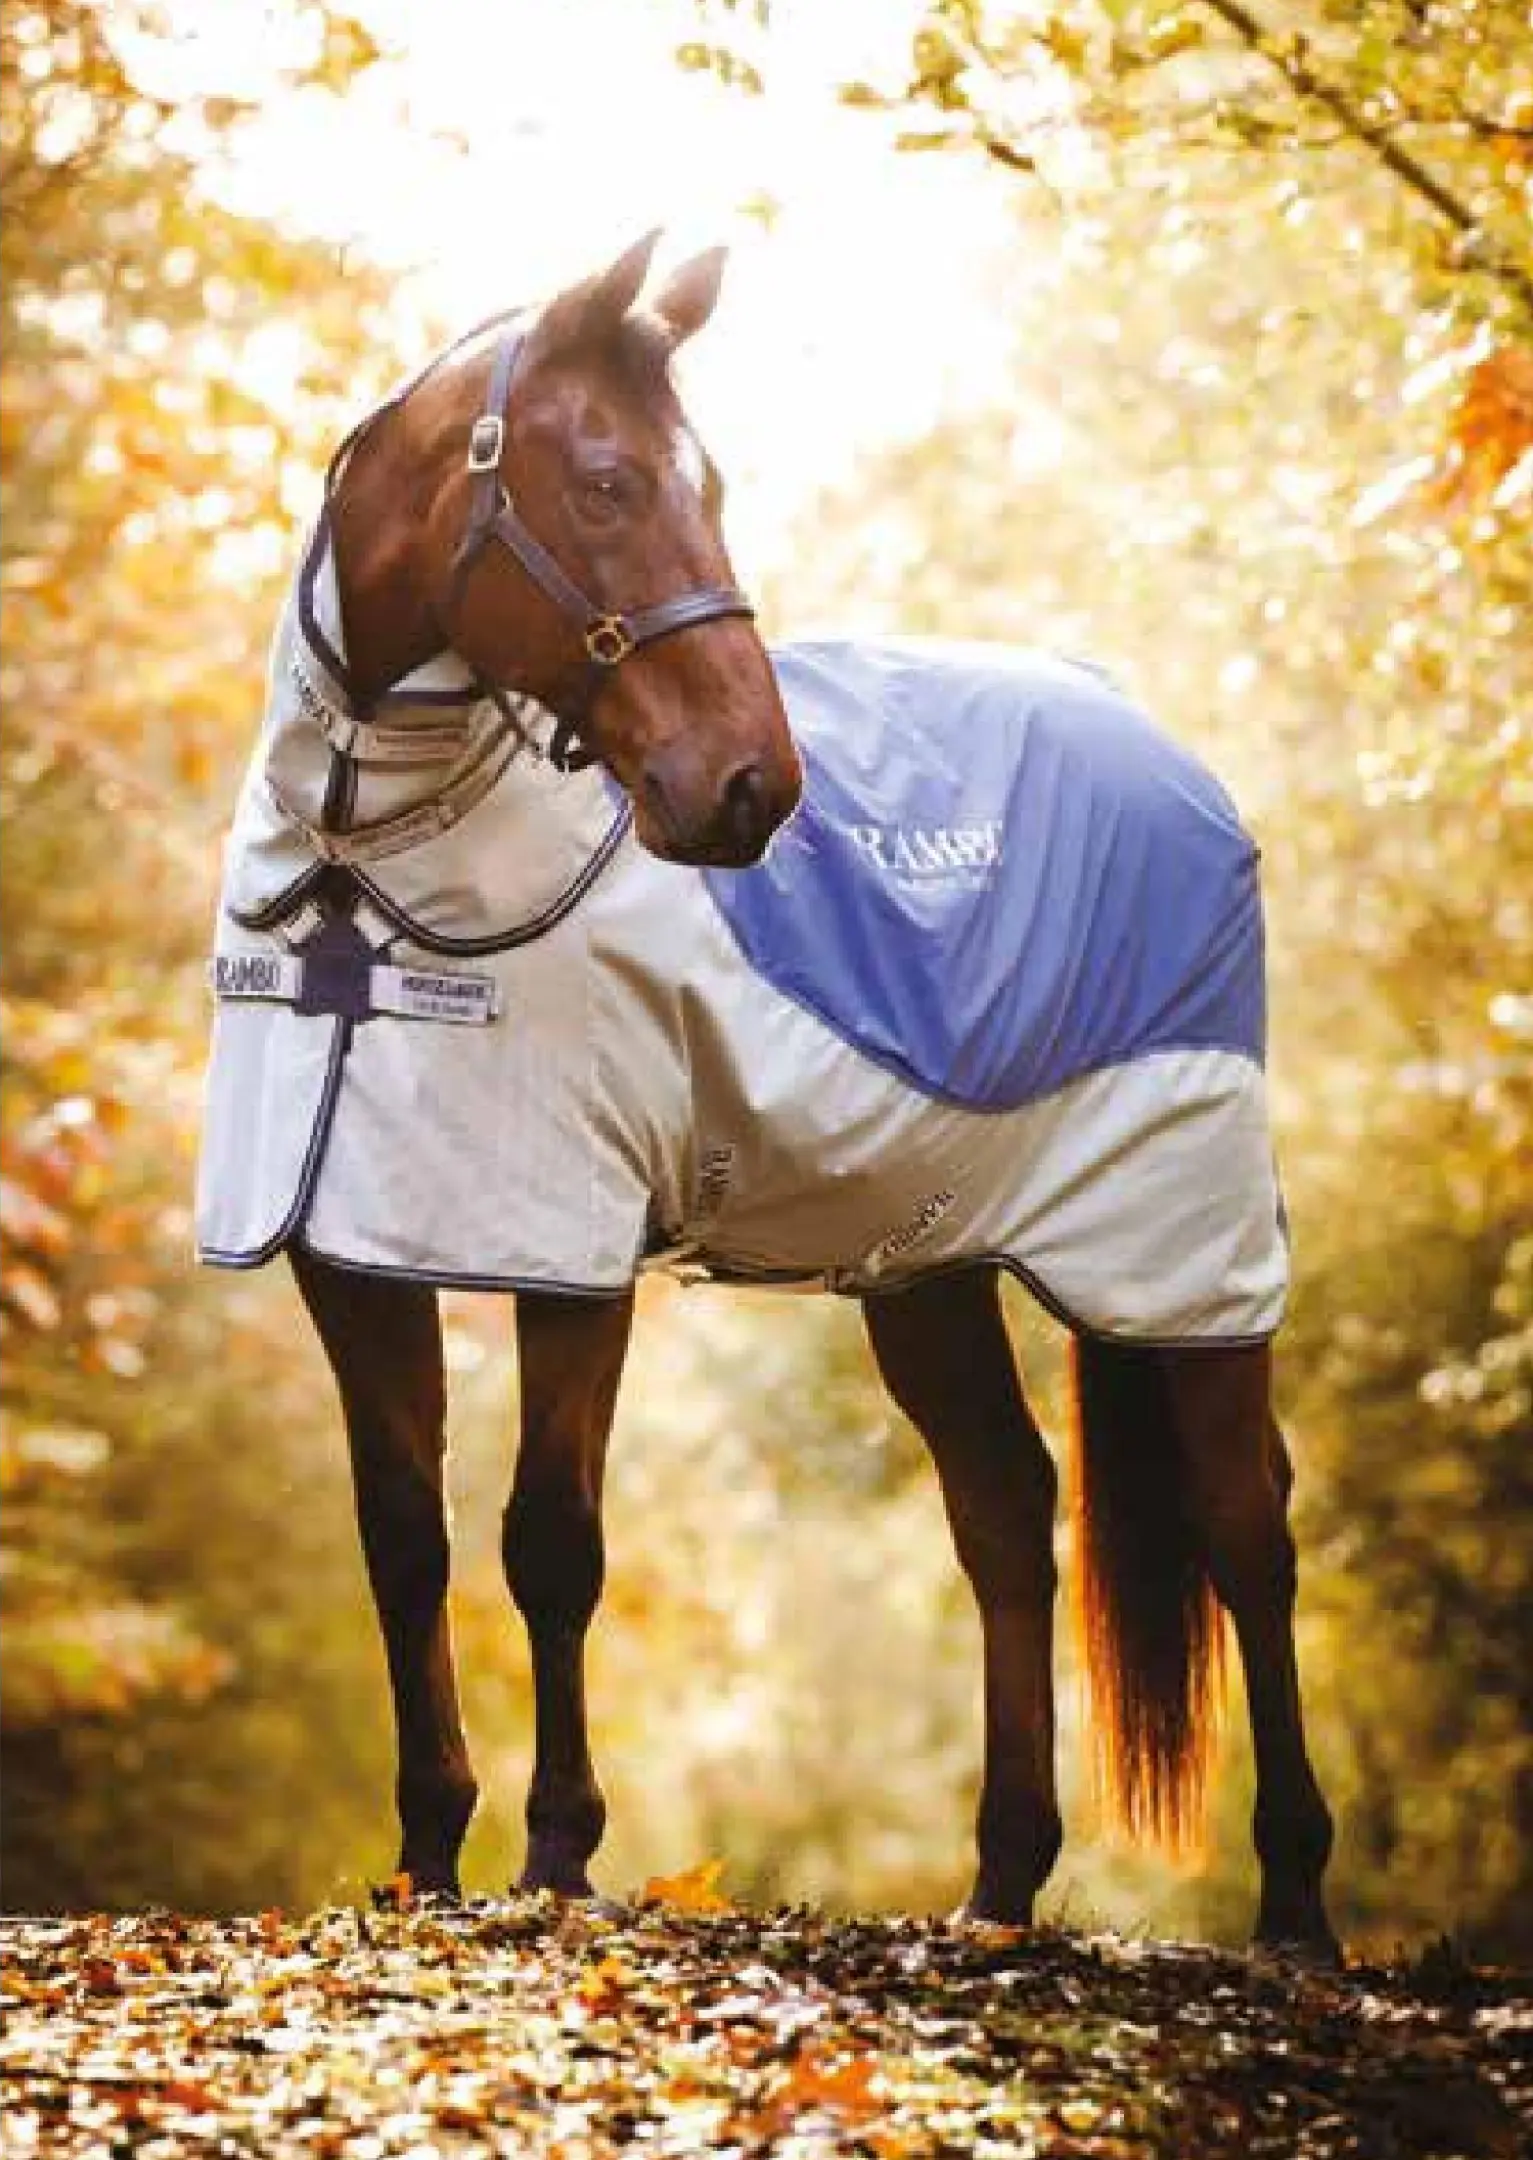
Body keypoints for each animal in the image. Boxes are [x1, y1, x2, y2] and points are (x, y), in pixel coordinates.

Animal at [200, 233, 1338, 1959]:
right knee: (1005, 1513)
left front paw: (557, 1855)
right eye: (606, 481)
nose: (753, 789)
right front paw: (427, 1857)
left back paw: (1296, 1911)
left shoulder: (569, 1251)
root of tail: (1165, 754)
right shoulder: (350, 1246)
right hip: (929, 1265)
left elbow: (549, 1540)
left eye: (710, 485)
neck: (362, 872)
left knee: (1242, 1528)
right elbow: (405, 1536)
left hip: (1178, 1251)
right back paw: (997, 1887)